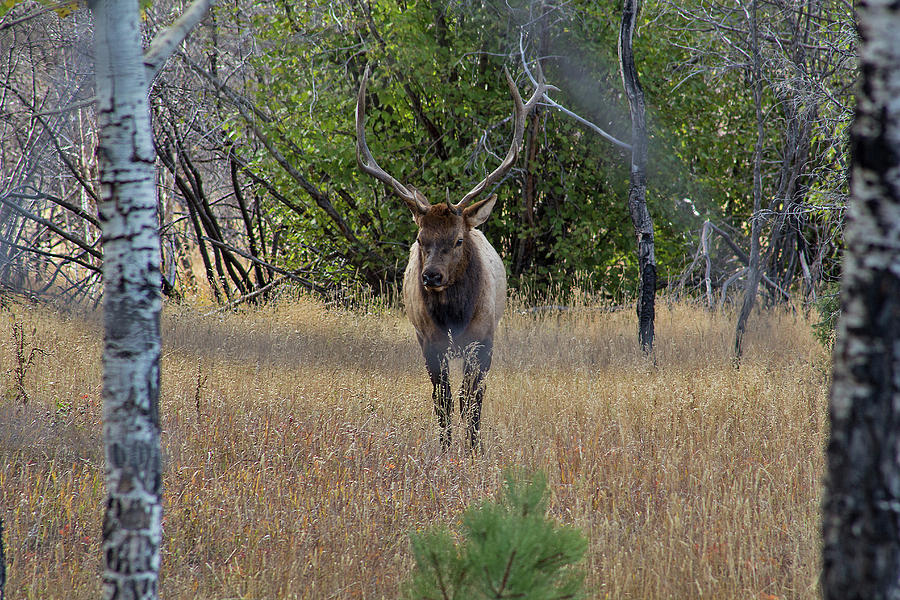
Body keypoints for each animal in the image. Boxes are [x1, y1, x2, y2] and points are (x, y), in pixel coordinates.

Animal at [356, 65, 544, 450]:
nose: (431, 276)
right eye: (420, 238)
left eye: (458, 240)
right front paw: (446, 449)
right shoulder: (430, 343)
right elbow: (441, 400)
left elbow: (471, 400)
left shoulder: (483, 340)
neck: (455, 318)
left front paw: (473, 449)